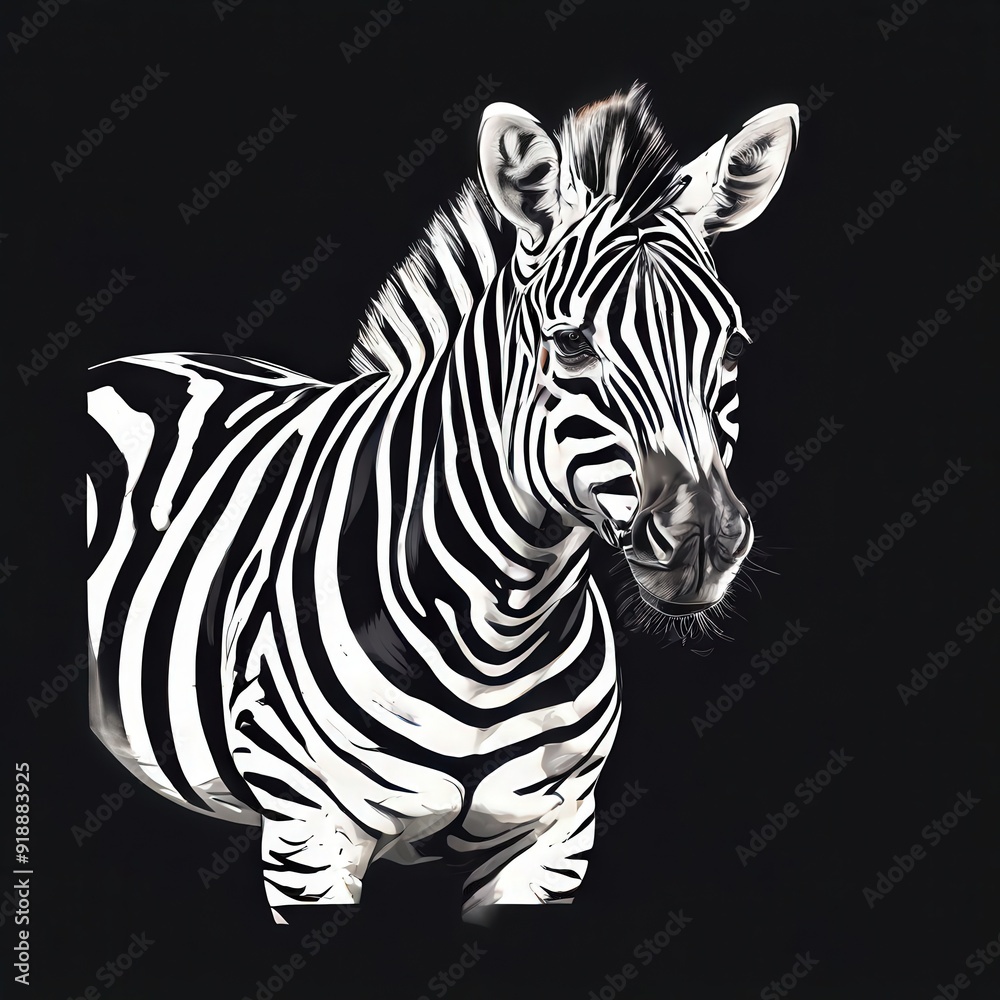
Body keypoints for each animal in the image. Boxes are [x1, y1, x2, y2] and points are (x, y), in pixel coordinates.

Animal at [86, 83, 797, 922]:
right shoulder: (308, 836)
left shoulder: (554, 842)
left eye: (734, 348)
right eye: (570, 345)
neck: (499, 631)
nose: (704, 542)